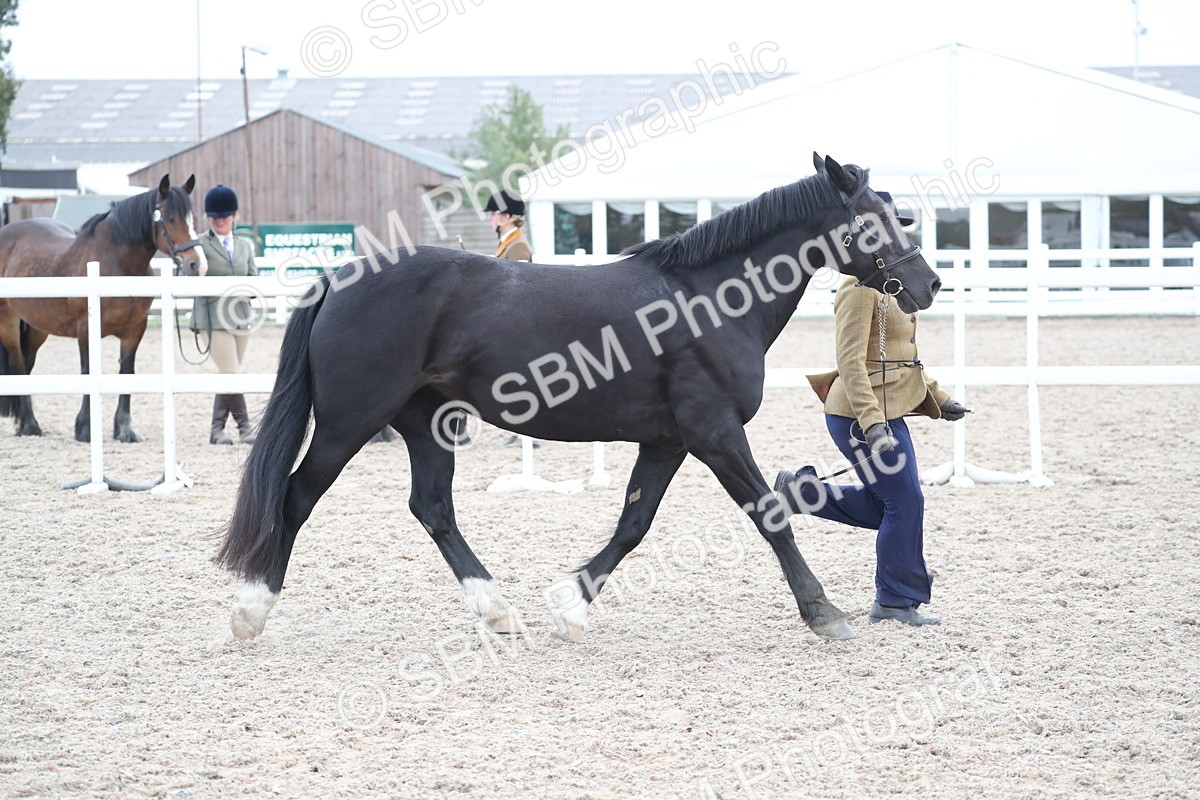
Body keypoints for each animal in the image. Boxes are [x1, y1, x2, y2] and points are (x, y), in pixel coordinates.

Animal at [0, 175, 207, 442]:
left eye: (193, 218)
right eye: (170, 218)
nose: (196, 265)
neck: (117, 263)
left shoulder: (134, 330)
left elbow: (127, 372)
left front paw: (125, 430)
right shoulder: (86, 329)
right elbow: (89, 372)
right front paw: (85, 429)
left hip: (37, 329)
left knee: (26, 365)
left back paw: (23, 423)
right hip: (8, 323)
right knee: (17, 364)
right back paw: (30, 426)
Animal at [216, 153, 942, 644]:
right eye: (871, 219)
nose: (928, 284)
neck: (708, 299)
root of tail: (339, 276)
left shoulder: (669, 439)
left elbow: (633, 522)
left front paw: (570, 604)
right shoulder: (714, 432)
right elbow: (769, 514)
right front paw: (823, 612)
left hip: (426, 422)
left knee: (432, 507)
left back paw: (496, 609)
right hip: (350, 420)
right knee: (295, 496)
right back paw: (251, 610)